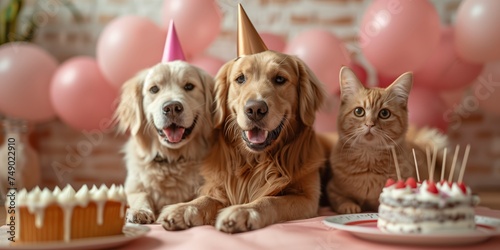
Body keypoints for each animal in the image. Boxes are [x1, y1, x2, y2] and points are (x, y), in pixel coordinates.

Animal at [114, 61, 216, 225]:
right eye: (154, 89)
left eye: (189, 86)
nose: (172, 107)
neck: (173, 159)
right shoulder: (133, 185)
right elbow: (140, 195)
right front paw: (140, 211)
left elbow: (206, 199)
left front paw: (182, 211)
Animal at [161, 49, 328, 233]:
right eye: (240, 78)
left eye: (280, 79)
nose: (255, 109)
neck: (255, 161)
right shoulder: (220, 187)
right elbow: (207, 199)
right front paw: (182, 209)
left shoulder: (307, 198)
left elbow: (271, 200)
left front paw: (243, 211)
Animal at [326, 67, 448, 214]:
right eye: (359, 111)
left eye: (384, 113)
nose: (370, 124)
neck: (369, 158)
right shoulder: (332, 189)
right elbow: (342, 200)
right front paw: (350, 207)